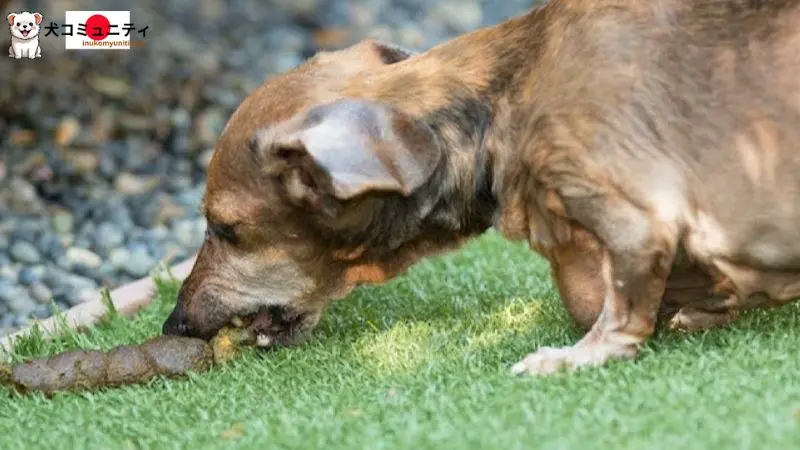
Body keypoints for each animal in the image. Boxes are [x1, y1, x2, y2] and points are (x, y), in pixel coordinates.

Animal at [162, 0, 800, 376]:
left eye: (225, 228)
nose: (174, 325)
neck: (504, 97)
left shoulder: (637, 222)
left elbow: (614, 312)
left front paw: (569, 358)